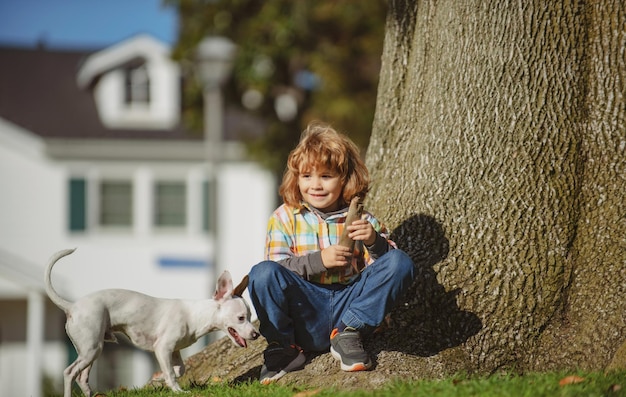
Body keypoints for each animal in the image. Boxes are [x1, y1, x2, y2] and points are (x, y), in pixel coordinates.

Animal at [44, 248, 258, 396]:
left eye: (249, 316)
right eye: (241, 318)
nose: (256, 334)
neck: (195, 314)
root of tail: (71, 306)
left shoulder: (174, 351)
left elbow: (179, 369)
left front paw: (159, 378)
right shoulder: (162, 348)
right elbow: (172, 373)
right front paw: (177, 390)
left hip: (92, 349)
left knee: (82, 376)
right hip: (91, 349)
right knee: (69, 373)